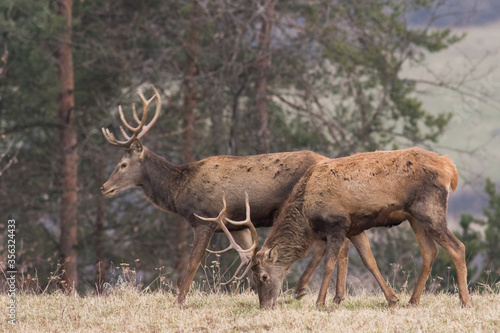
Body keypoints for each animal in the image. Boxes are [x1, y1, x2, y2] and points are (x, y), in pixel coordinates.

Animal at [100, 85, 398, 304]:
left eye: (122, 164)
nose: (104, 187)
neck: (179, 191)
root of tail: (327, 161)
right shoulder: (237, 224)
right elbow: (246, 257)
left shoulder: (206, 219)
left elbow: (193, 262)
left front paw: (180, 299)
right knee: (346, 242)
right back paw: (337, 295)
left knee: (330, 244)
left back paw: (306, 289)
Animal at [244, 147, 470, 308]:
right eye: (252, 276)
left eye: (263, 276)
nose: (265, 306)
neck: (307, 214)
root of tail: (449, 168)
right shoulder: (355, 229)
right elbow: (369, 261)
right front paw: (392, 299)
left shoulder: (336, 224)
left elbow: (329, 264)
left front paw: (320, 302)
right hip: (415, 217)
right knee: (430, 251)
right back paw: (412, 301)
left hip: (430, 210)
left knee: (458, 247)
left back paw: (465, 301)